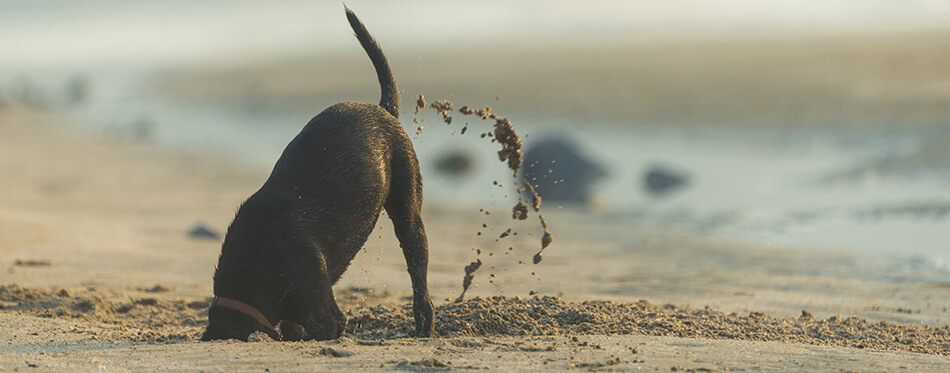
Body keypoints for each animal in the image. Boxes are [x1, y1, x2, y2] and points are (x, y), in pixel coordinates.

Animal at [205, 7, 438, 342]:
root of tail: (383, 109)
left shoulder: (324, 314)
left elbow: (308, 329)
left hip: (408, 213)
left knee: (421, 287)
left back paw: (422, 329)